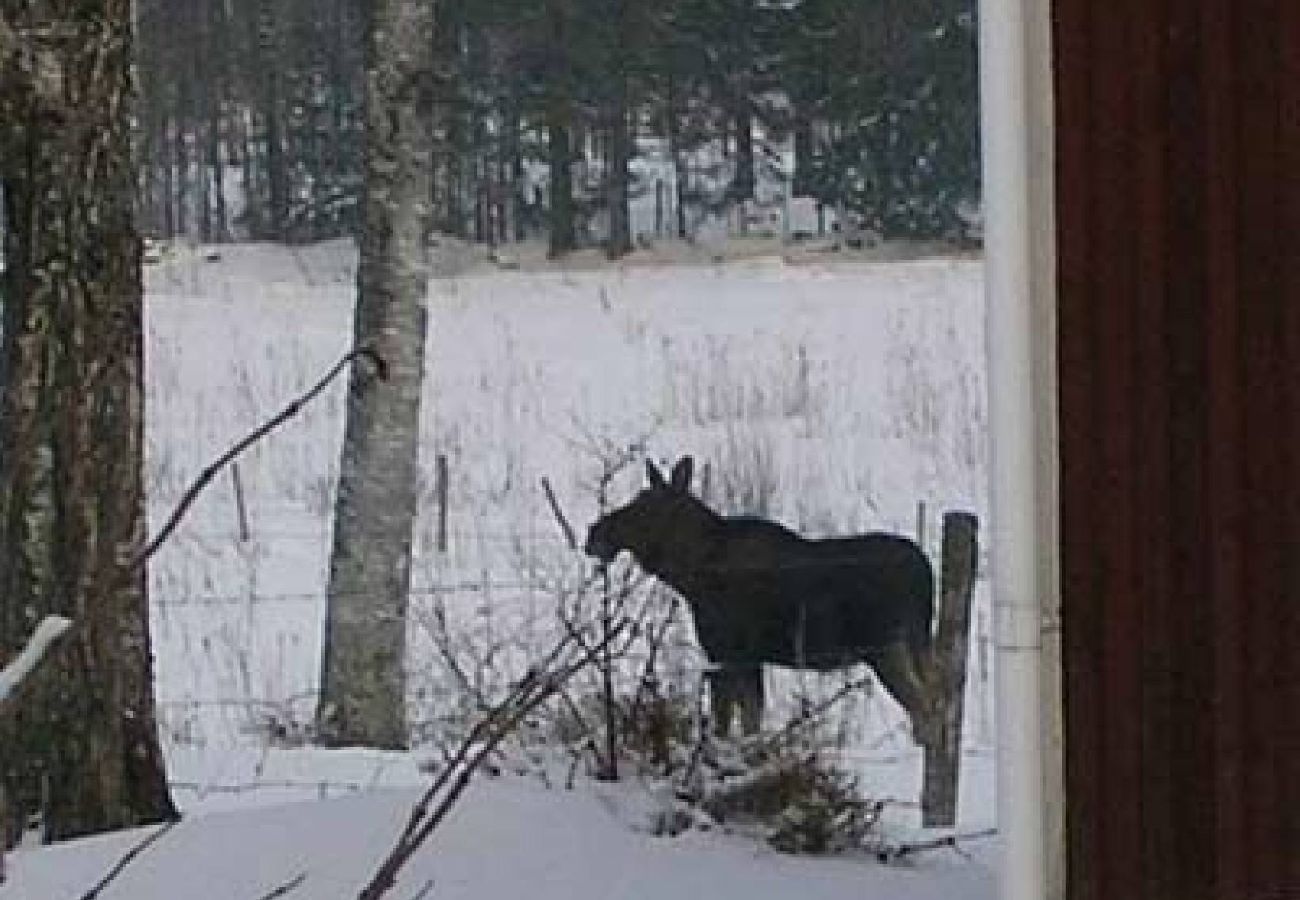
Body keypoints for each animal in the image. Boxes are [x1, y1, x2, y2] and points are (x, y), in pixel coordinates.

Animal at [587, 457, 935, 738]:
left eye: (644, 506)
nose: (594, 532)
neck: (692, 575)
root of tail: (925, 570)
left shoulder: (729, 653)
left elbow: (734, 723)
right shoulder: (744, 658)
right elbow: (747, 721)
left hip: (887, 646)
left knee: (925, 712)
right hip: (914, 644)